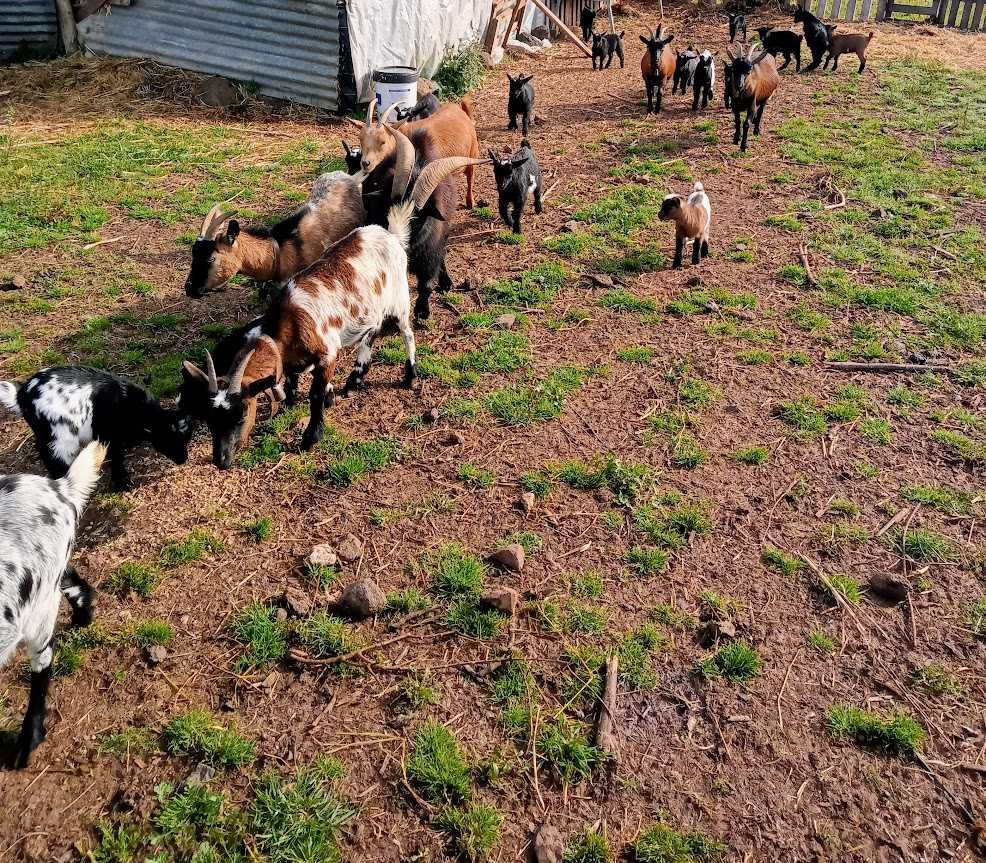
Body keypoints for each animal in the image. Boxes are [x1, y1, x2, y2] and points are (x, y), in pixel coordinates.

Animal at [0, 366, 190, 492]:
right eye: (168, 439)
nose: (183, 460)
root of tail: (21, 396)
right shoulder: (109, 433)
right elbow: (116, 456)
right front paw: (122, 483)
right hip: (60, 437)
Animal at [360, 100, 482, 318]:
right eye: (387, 210)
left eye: (417, 218)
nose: (365, 163)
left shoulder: (432, 247)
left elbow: (427, 281)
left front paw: (422, 311)